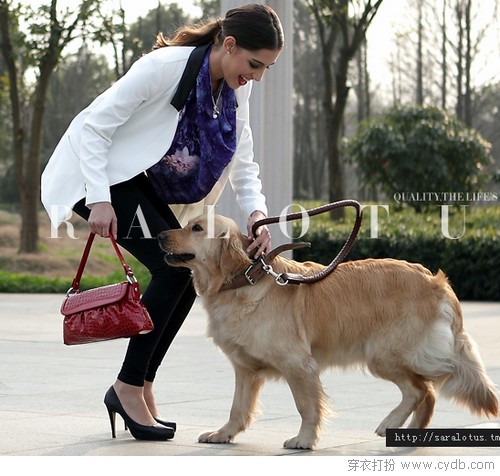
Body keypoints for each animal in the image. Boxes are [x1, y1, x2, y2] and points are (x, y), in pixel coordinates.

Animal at [158, 214, 498, 448]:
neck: (244, 278)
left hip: (382, 353)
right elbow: (238, 407)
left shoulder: (298, 364)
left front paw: (304, 440)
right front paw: (224, 433)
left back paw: (390, 423)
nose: (160, 234)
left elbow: (307, 406)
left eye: (197, 228)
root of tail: (435, 281)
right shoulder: (245, 368)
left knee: (421, 390)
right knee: (427, 393)